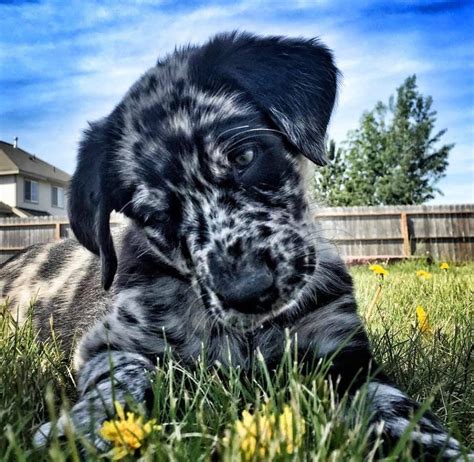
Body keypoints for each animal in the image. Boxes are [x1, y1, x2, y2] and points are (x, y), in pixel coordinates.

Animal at [0, 31, 466, 458]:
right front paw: (83, 428)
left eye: (244, 157)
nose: (249, 292)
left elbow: (394, 406)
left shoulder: (343, 352)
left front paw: (436, 447)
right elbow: (122, 375)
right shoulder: (108, 342)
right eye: (154, 217)